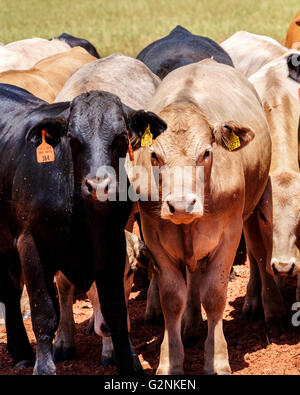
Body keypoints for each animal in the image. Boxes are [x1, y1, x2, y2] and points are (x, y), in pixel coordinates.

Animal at [0, 83, 166, 374]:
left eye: (122, 136)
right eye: (73, 138)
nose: (99, 185)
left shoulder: (113, 247)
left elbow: (115, 311)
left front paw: (128, 362)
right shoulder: (30, 246)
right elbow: (45, 313)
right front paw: (44, 367)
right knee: (10, 293)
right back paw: (21, 351)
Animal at [126, 58, 274, 374]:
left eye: (206, 153)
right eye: (154, 155)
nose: (181, 206)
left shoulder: (229, 235)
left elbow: (214, 296)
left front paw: (216, 359)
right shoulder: (154, 238)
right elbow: (173, 298)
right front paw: (170, 360)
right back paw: (191, 326)